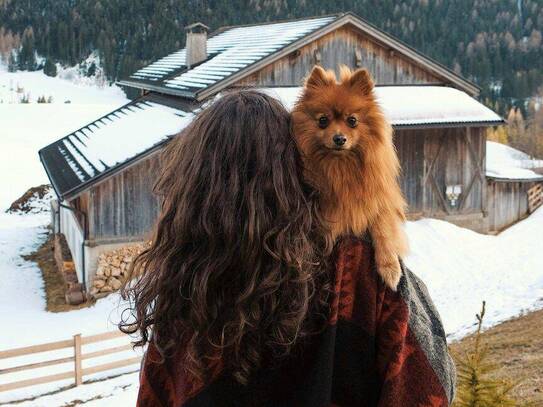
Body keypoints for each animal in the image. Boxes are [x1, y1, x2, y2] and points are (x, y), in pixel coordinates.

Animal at [294, 66, 408, 290]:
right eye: (323, 120)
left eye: (352, 121)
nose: (339, 138)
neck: (341, 166)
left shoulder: (381, 201)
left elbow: (383, 229)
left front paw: (390, 268)